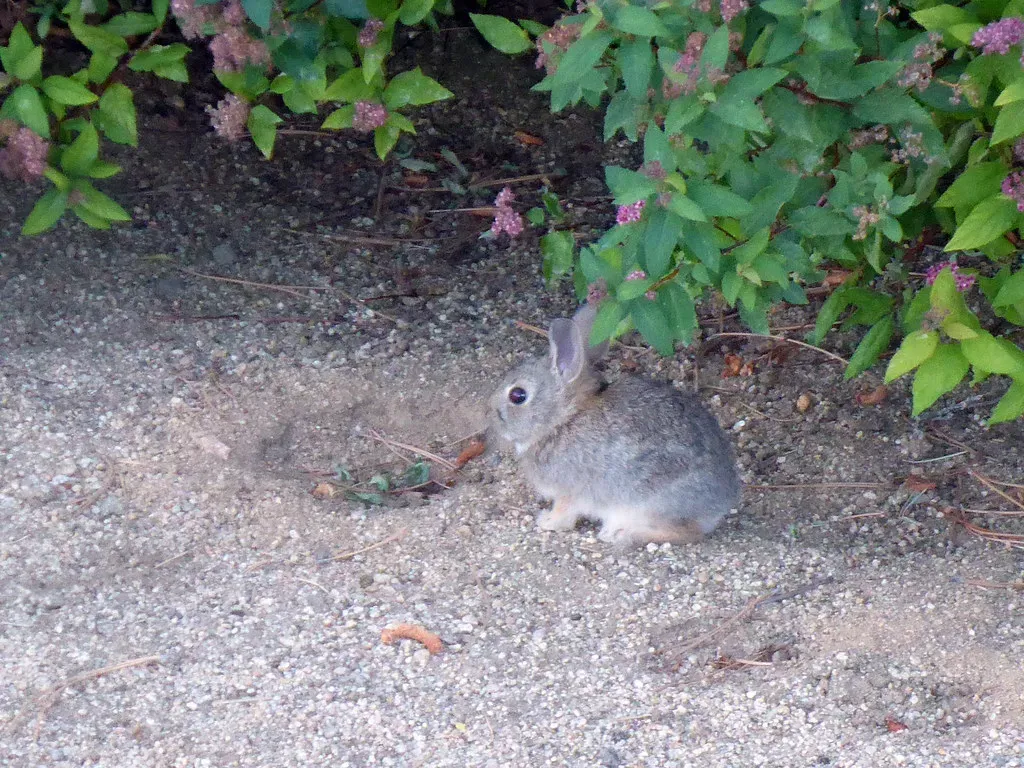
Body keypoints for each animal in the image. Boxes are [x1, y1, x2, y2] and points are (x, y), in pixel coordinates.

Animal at [489, 304, 740, 547]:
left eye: (518, 395)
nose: (491, 415)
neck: (564, 419)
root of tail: (719, 505)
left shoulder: (569, 491)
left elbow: (564, 512)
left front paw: (547, 521)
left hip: (648, 502)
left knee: (687, 533)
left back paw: (621, 534)